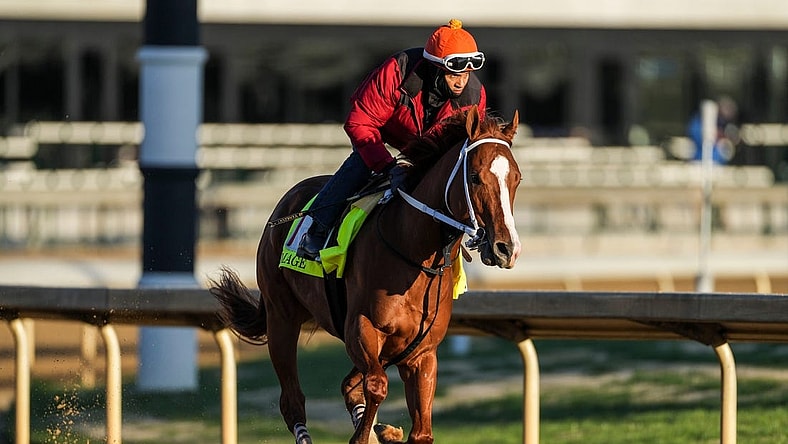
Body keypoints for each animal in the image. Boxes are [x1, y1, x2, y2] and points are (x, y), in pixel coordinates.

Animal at [209, 105, 521, 444]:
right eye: (475, 177)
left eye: (517, 178)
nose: (506, 248)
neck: (414, 253)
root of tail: (286, 200)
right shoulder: (361, 328)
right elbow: (377, 385)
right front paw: (366, 433)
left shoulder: (421, 352)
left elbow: (420, 431)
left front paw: (384, 431)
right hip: (281, 317)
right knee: (293, 401)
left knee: (348, 386)